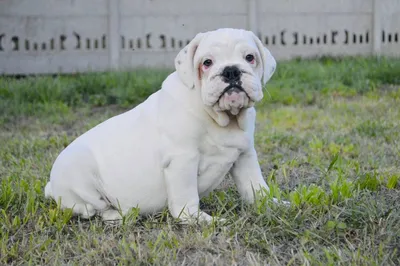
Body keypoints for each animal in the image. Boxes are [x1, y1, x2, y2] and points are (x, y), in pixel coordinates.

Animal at [44, 27, 278, 222]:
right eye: (207, 62)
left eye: (250, 58)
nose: (231, 71)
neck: (221, 118)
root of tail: (51, 186)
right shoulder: (183, 159)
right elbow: (186, 198)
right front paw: (201, 220)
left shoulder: (245, 156)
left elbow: (256, 187)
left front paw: (273, 204)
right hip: (81, 179)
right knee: (91, 209)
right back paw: (118, 214)